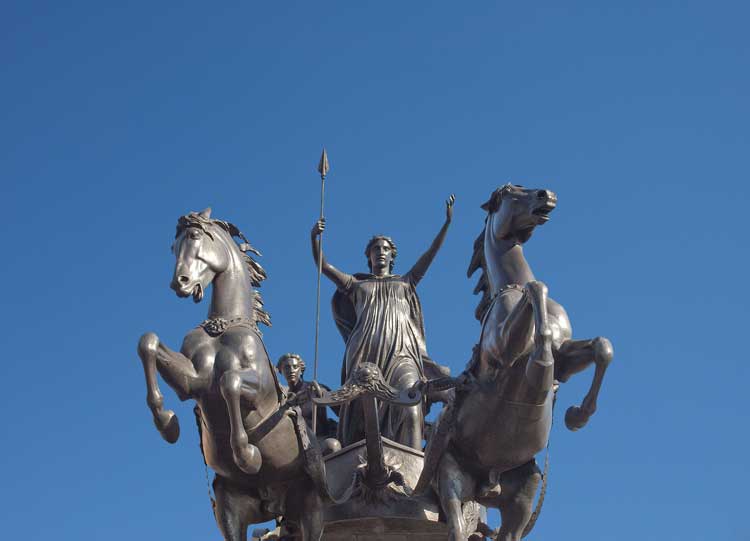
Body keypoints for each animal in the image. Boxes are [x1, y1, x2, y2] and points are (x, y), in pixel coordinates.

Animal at [137, 209, 328, 540]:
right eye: (173, 247)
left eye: (194, 236)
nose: (180, 282)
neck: (223, 326)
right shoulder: (194, 381)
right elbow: (148, 342)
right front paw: (167, 423)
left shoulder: (261, 392)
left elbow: (230, 382)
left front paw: (247, 454)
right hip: (231, 508)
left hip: (311, 506)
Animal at [426, 185, 612, 540]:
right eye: (511, 192)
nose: (546, 194)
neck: (508, 286)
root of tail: (488, 484)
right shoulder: (502, 349)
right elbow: (536, 289)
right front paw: (540, 368)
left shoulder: (566, 356)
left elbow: (601, 348)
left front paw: (576, 415)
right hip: (451, 481)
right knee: (456, 526)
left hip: (521, 499)